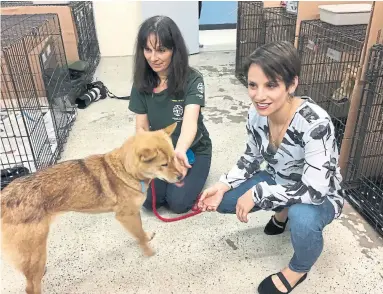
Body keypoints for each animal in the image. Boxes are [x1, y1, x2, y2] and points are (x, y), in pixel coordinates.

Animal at [0, 122, 185, 294]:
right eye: (164, 164)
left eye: (174, 158)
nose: (182, 176)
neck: (125, 169)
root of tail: (5, 196)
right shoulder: (126, 215)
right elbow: (138, 235)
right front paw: (147, 250)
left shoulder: (133, 213)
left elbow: (141, 231)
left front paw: (146, 237)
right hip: (36, 254)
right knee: (31, 287)